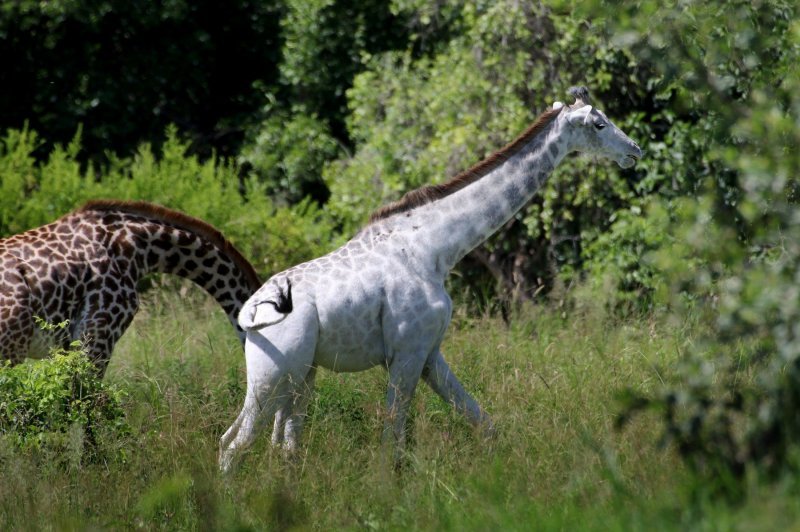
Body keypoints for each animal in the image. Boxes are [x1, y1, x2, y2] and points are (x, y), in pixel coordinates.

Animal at [219, 87, 644, 474]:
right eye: (599, 123)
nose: (635, 150)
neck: (435, 247)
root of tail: (249, 313)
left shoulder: (429, 352)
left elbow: (483, 421)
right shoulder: (406, 352)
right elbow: (392, 440)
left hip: (300, 376)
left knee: (277, 445)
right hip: (274, 376)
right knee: (234, 443)